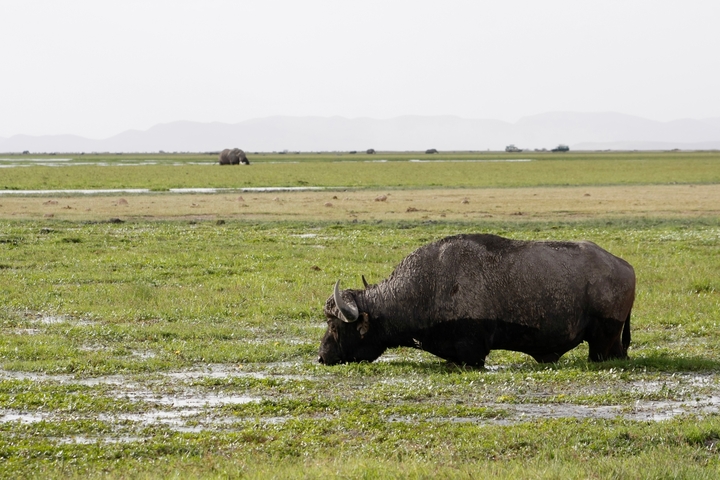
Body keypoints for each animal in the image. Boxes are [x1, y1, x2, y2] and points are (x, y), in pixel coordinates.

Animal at [319, 234, 635, 367]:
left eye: (335, 326)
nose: (321, 357)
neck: (427, 286)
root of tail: (624, 266)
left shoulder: (473, 352)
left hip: (601, 341)